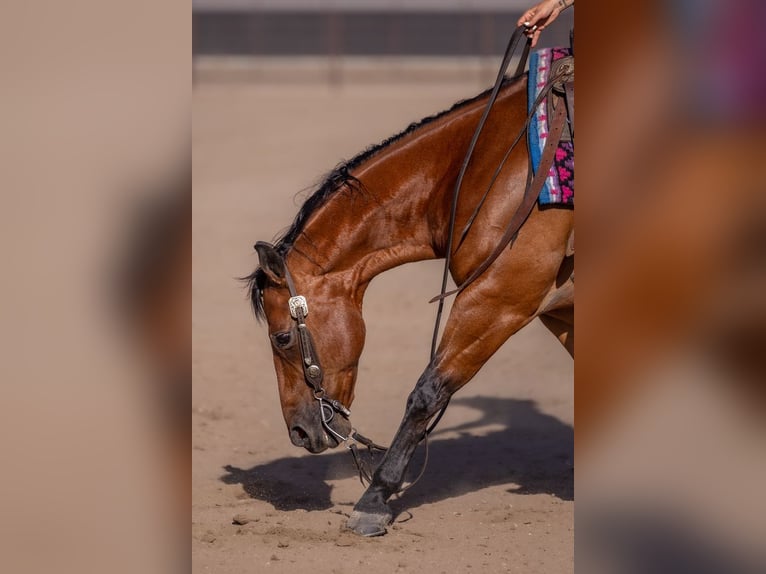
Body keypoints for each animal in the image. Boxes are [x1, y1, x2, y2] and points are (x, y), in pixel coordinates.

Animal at [245, 73, 574, 537]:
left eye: (283, 337)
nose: (299, 433)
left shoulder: (499, 295)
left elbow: (427, 393)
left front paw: (374, 500)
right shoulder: (559, 308)